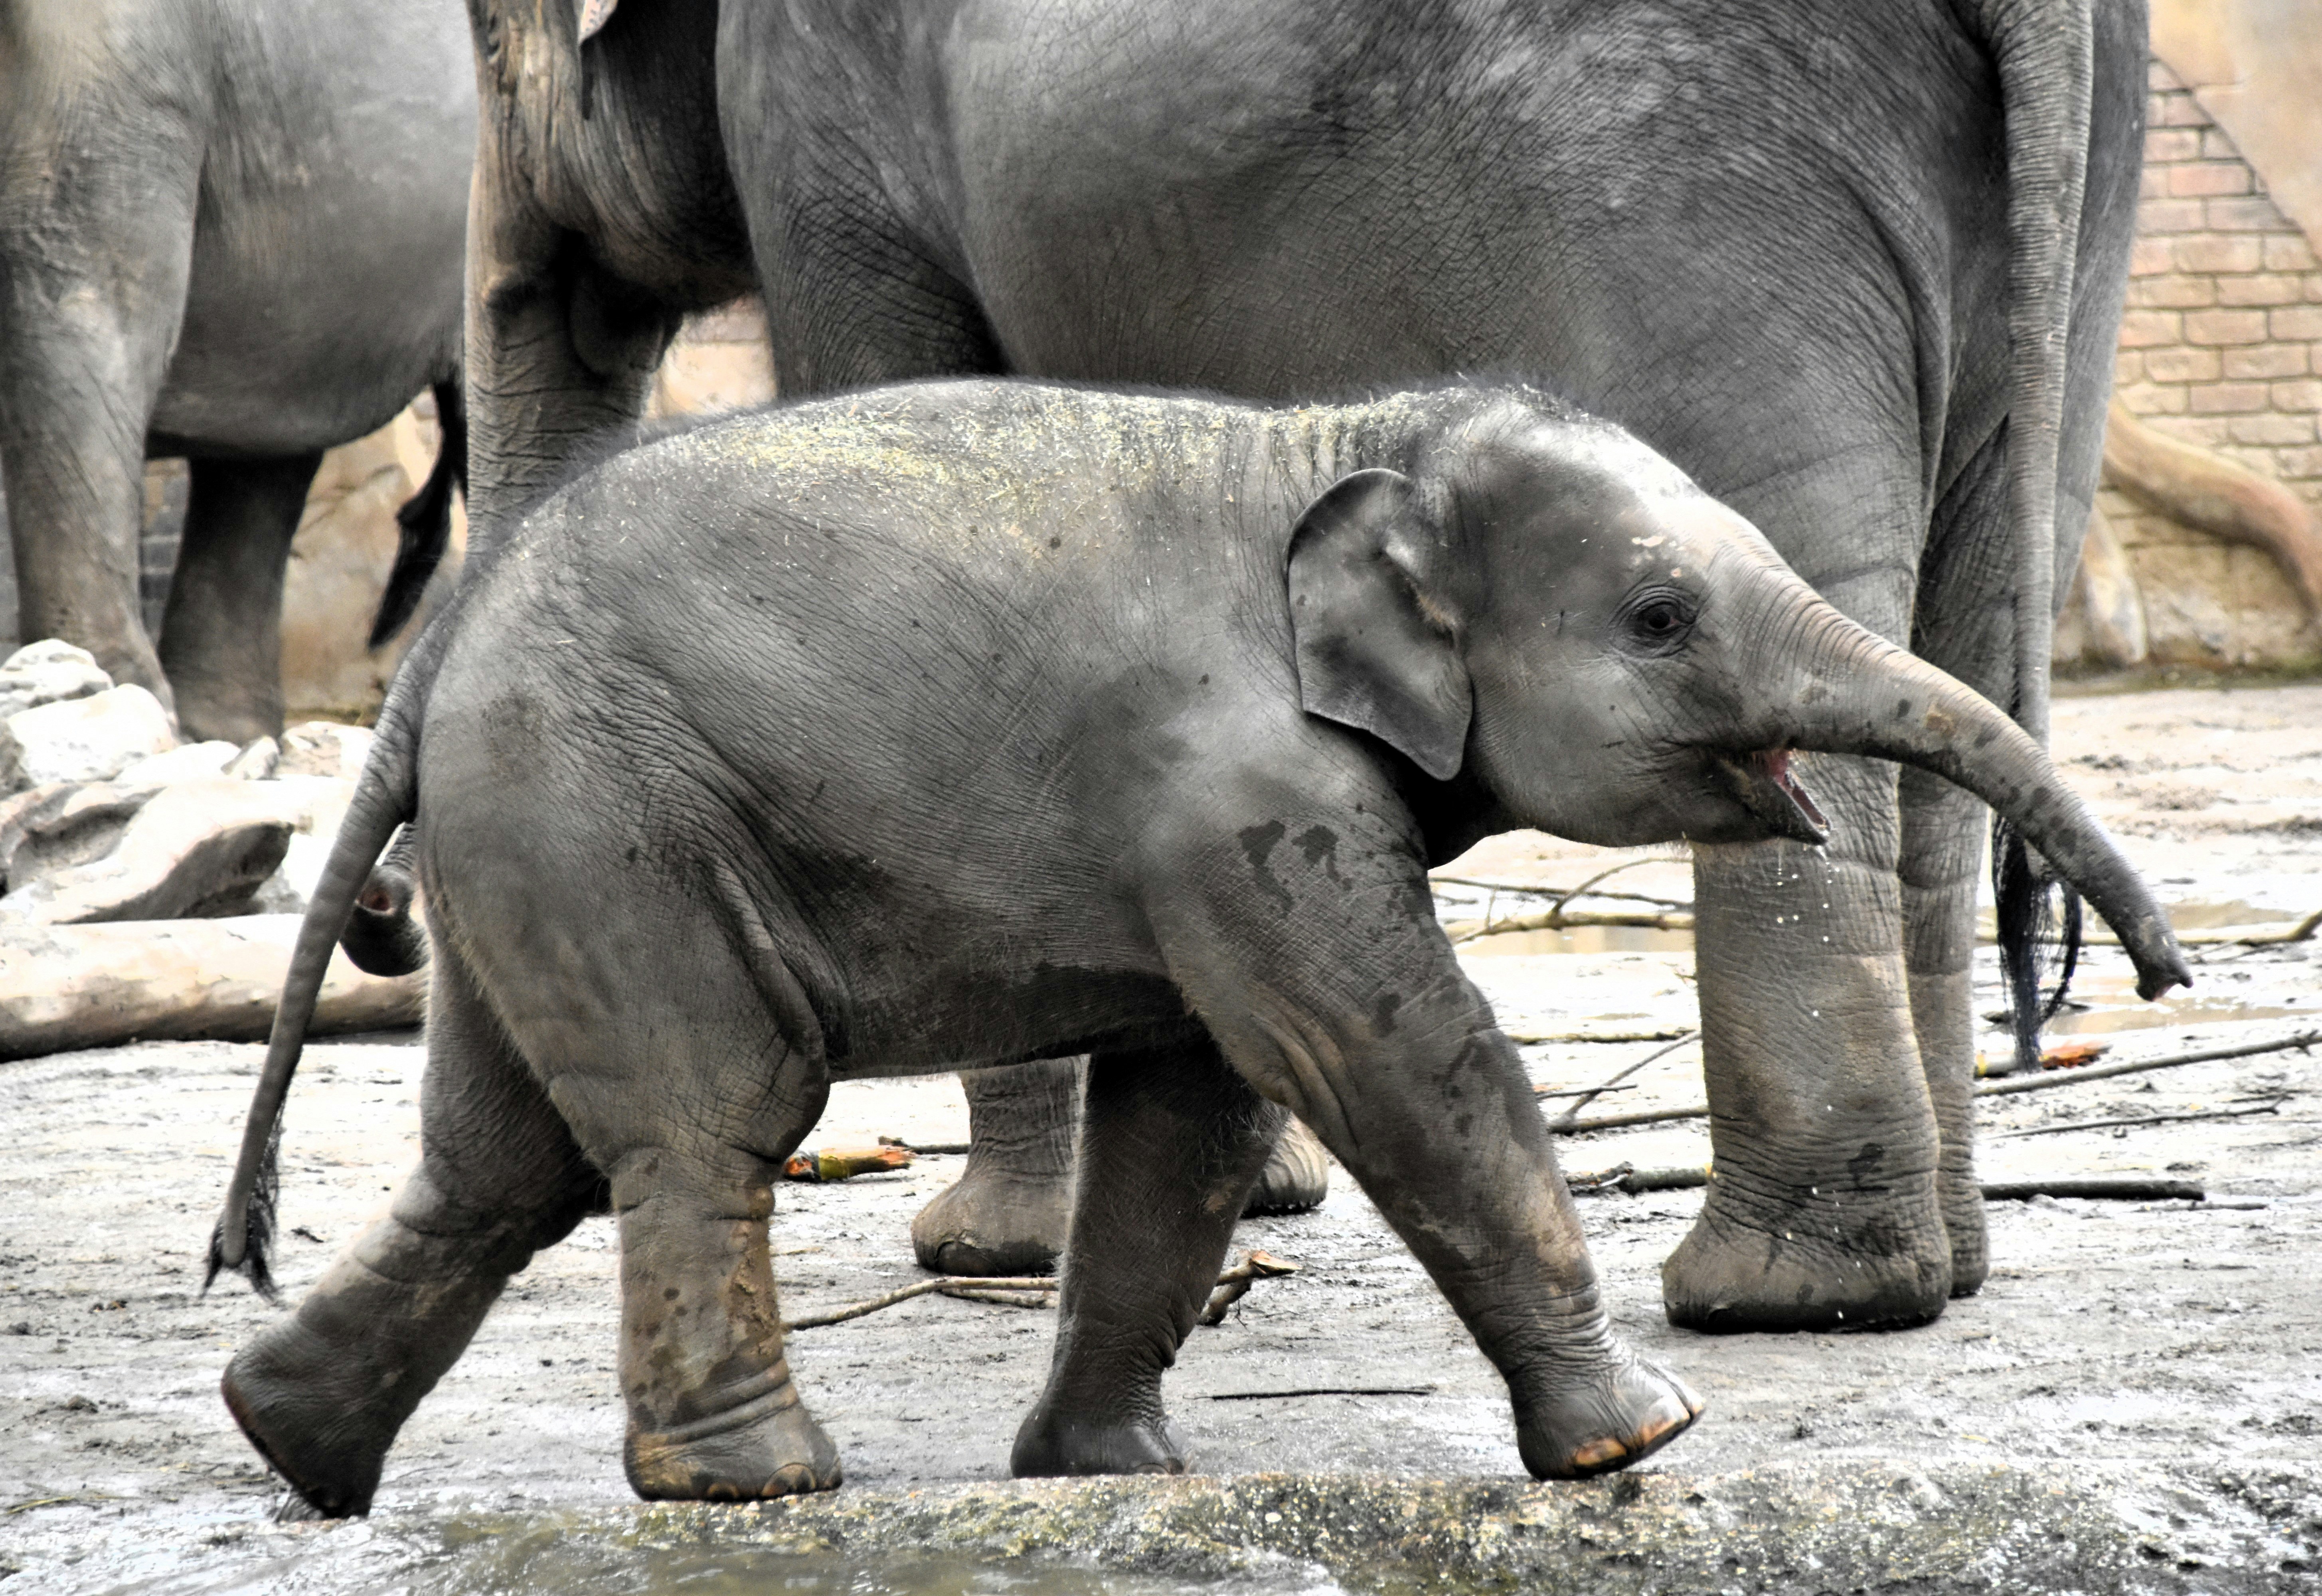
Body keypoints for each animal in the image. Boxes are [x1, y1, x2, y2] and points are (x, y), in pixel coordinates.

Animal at [208, 378, 2189, 1515]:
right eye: (1655, 616)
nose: (2160, 977)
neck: (1357, 447)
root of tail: (436, 655)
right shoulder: (1240, 785)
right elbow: (1388, 1053)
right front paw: (1641, 1438)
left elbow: (1195, 1099)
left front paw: (1107, 1476)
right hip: (611, 809)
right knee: (708, 1123)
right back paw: (756, 1489)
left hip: (540, 836)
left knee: (505, 1160)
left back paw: (291, 1441)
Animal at [446, 0, 2144, 1328]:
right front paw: (1244, 1195)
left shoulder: (822, 138)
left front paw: (990, 1252)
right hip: (2052, 238)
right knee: (1963, 633)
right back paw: (1935, 1269)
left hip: (1696, 179)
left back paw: (1784, 1295)